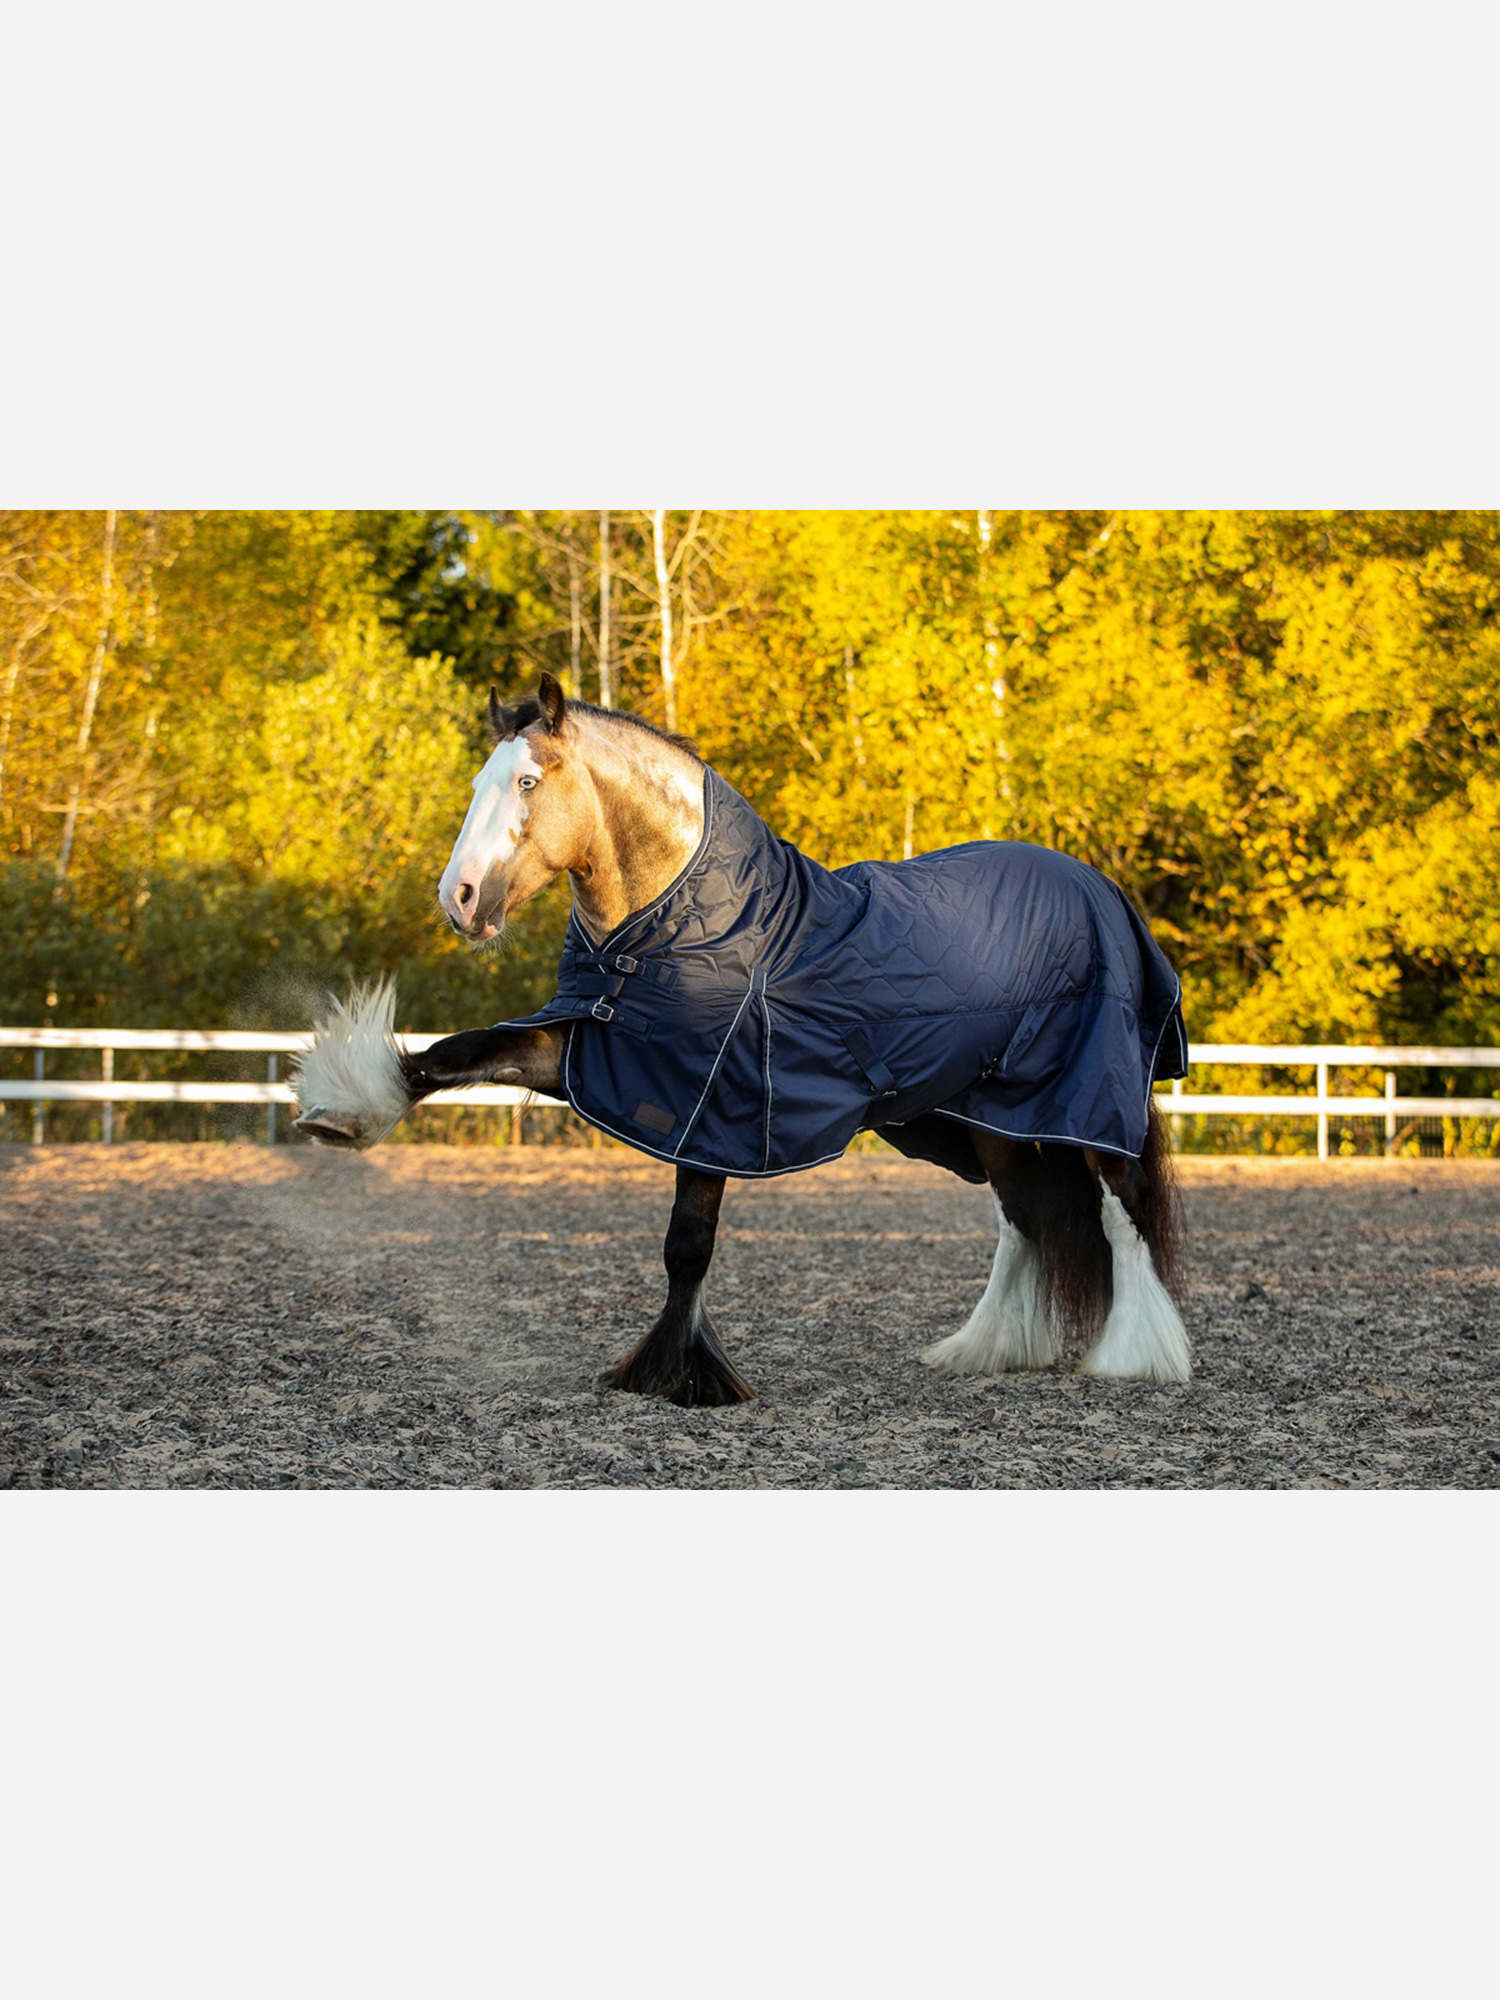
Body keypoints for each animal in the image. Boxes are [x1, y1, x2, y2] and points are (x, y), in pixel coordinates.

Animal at [294, 672, 1191, 1407]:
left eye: (526, 780)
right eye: (480, 780)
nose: (460, 898)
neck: (690, 925)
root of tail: (1100, 889)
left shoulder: (710, 1099)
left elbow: (688, 1243)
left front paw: (679, 1377)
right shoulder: (606, 1055)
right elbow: (454, 1054)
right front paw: (345, 1116)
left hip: (1090, 1103)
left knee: (1121, 1212)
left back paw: (1136, 1357)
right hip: (993, 1116)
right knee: (1024, 1219)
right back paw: (986, 1349)